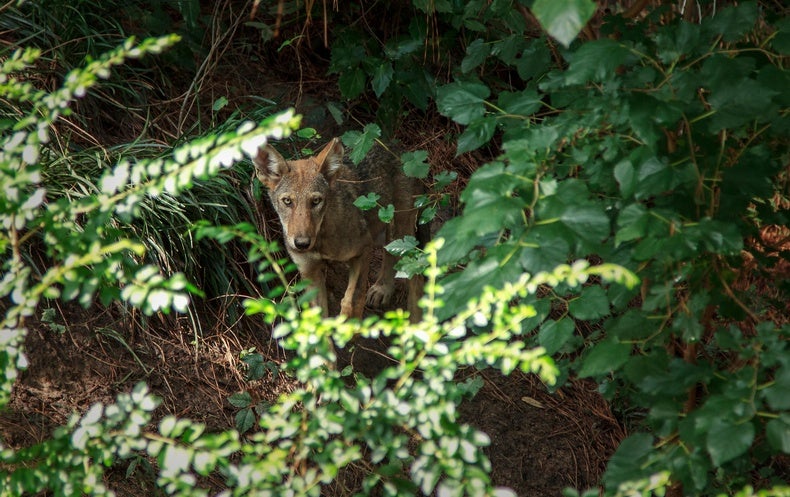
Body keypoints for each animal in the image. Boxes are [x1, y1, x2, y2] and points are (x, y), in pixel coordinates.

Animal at [254, 138, 426, 320]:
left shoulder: (364, 249)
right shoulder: (309, 272)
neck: (321, 240)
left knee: (417, 276)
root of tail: (397, 147)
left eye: (316, 201)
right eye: (287, 201)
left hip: (402, 234)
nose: (301, 244)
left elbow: (352, 300)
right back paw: (383, 289)